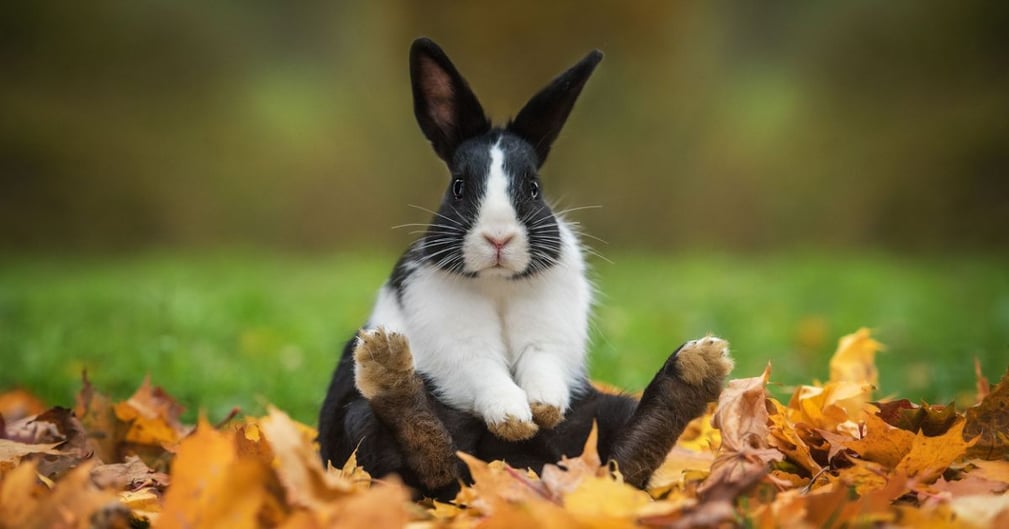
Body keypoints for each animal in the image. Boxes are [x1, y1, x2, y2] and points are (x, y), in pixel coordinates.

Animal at [316, 38, 734, 500]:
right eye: (458, 187)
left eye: (533, 188)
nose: (498, 238)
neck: (498, 284)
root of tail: (522, 469)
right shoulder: (456, 340)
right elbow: (483, 369)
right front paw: (514, 419)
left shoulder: (548, 336)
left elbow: (541, 362)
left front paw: (542, 409)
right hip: (360, 420)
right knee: (430, 460)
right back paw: (388, 367)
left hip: (600, 413)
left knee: (622, 463)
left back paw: (694, 370)